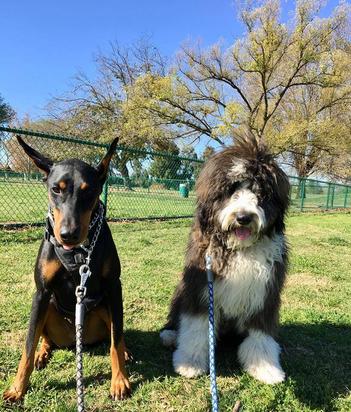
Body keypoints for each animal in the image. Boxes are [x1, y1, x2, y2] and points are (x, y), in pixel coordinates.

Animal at [2, 137, 132, 400]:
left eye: (89, 190)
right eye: (56, 189)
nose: (68, 234)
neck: (77, 253)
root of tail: (75, 339)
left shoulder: (114, 288)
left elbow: (116, 340)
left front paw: (119, 381)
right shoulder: (41, 292)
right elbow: (28, 345)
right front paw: (17, 389)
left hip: (103, 305)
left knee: (116, 332)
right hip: (48, 307)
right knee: (45, 339)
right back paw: (42, 354)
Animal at [161, 137, 290, 384]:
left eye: (260, 192)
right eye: (231, 190)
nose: (243, 217)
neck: (238, 249)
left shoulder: (265, 294)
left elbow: (261, 335)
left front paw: (266, 368)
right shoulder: (200, 290)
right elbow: (196, 329)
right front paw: (190, 363)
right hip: (181, 292)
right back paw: (170, 335)